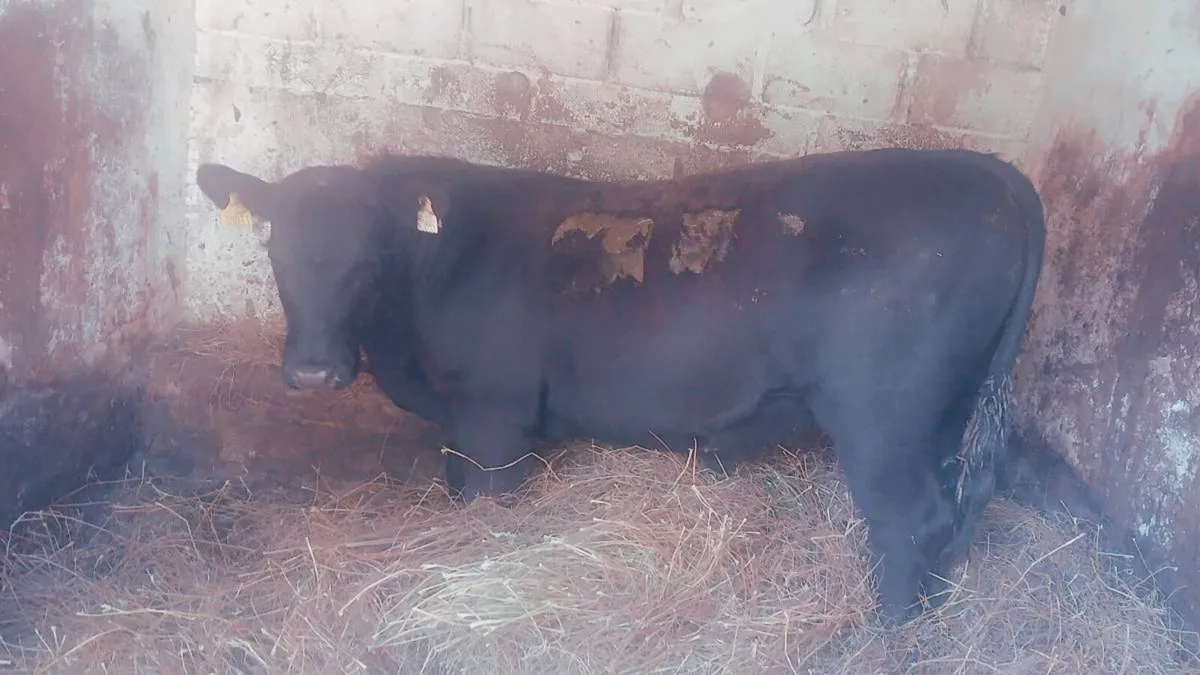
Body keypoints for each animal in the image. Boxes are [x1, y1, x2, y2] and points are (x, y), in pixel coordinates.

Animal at [194, 147, 1045, 626]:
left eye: (368, 258)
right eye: (276, 253)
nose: (312, 368)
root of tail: (986, 169)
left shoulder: (493, 417)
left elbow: (486, 510)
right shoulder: (460, 423)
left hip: (882, 414)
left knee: (910, 523)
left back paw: (882, 638)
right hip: (942, 413)